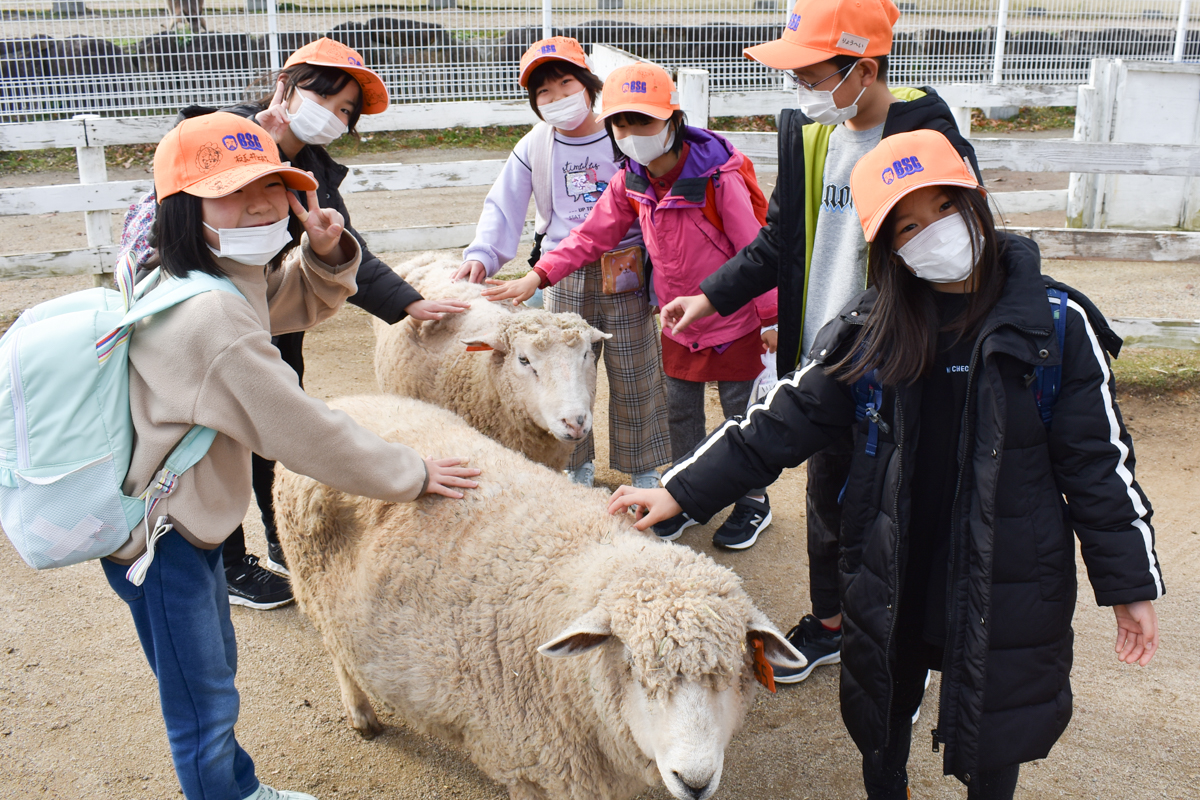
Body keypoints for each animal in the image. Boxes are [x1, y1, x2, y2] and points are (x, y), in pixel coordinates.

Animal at [273, 394, 805, 800]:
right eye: (631, 666)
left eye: (734, 670)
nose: (694, 781)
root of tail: (345, 400)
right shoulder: (532, 765)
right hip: (316, 591)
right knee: (340, 656)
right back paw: (361, 715)